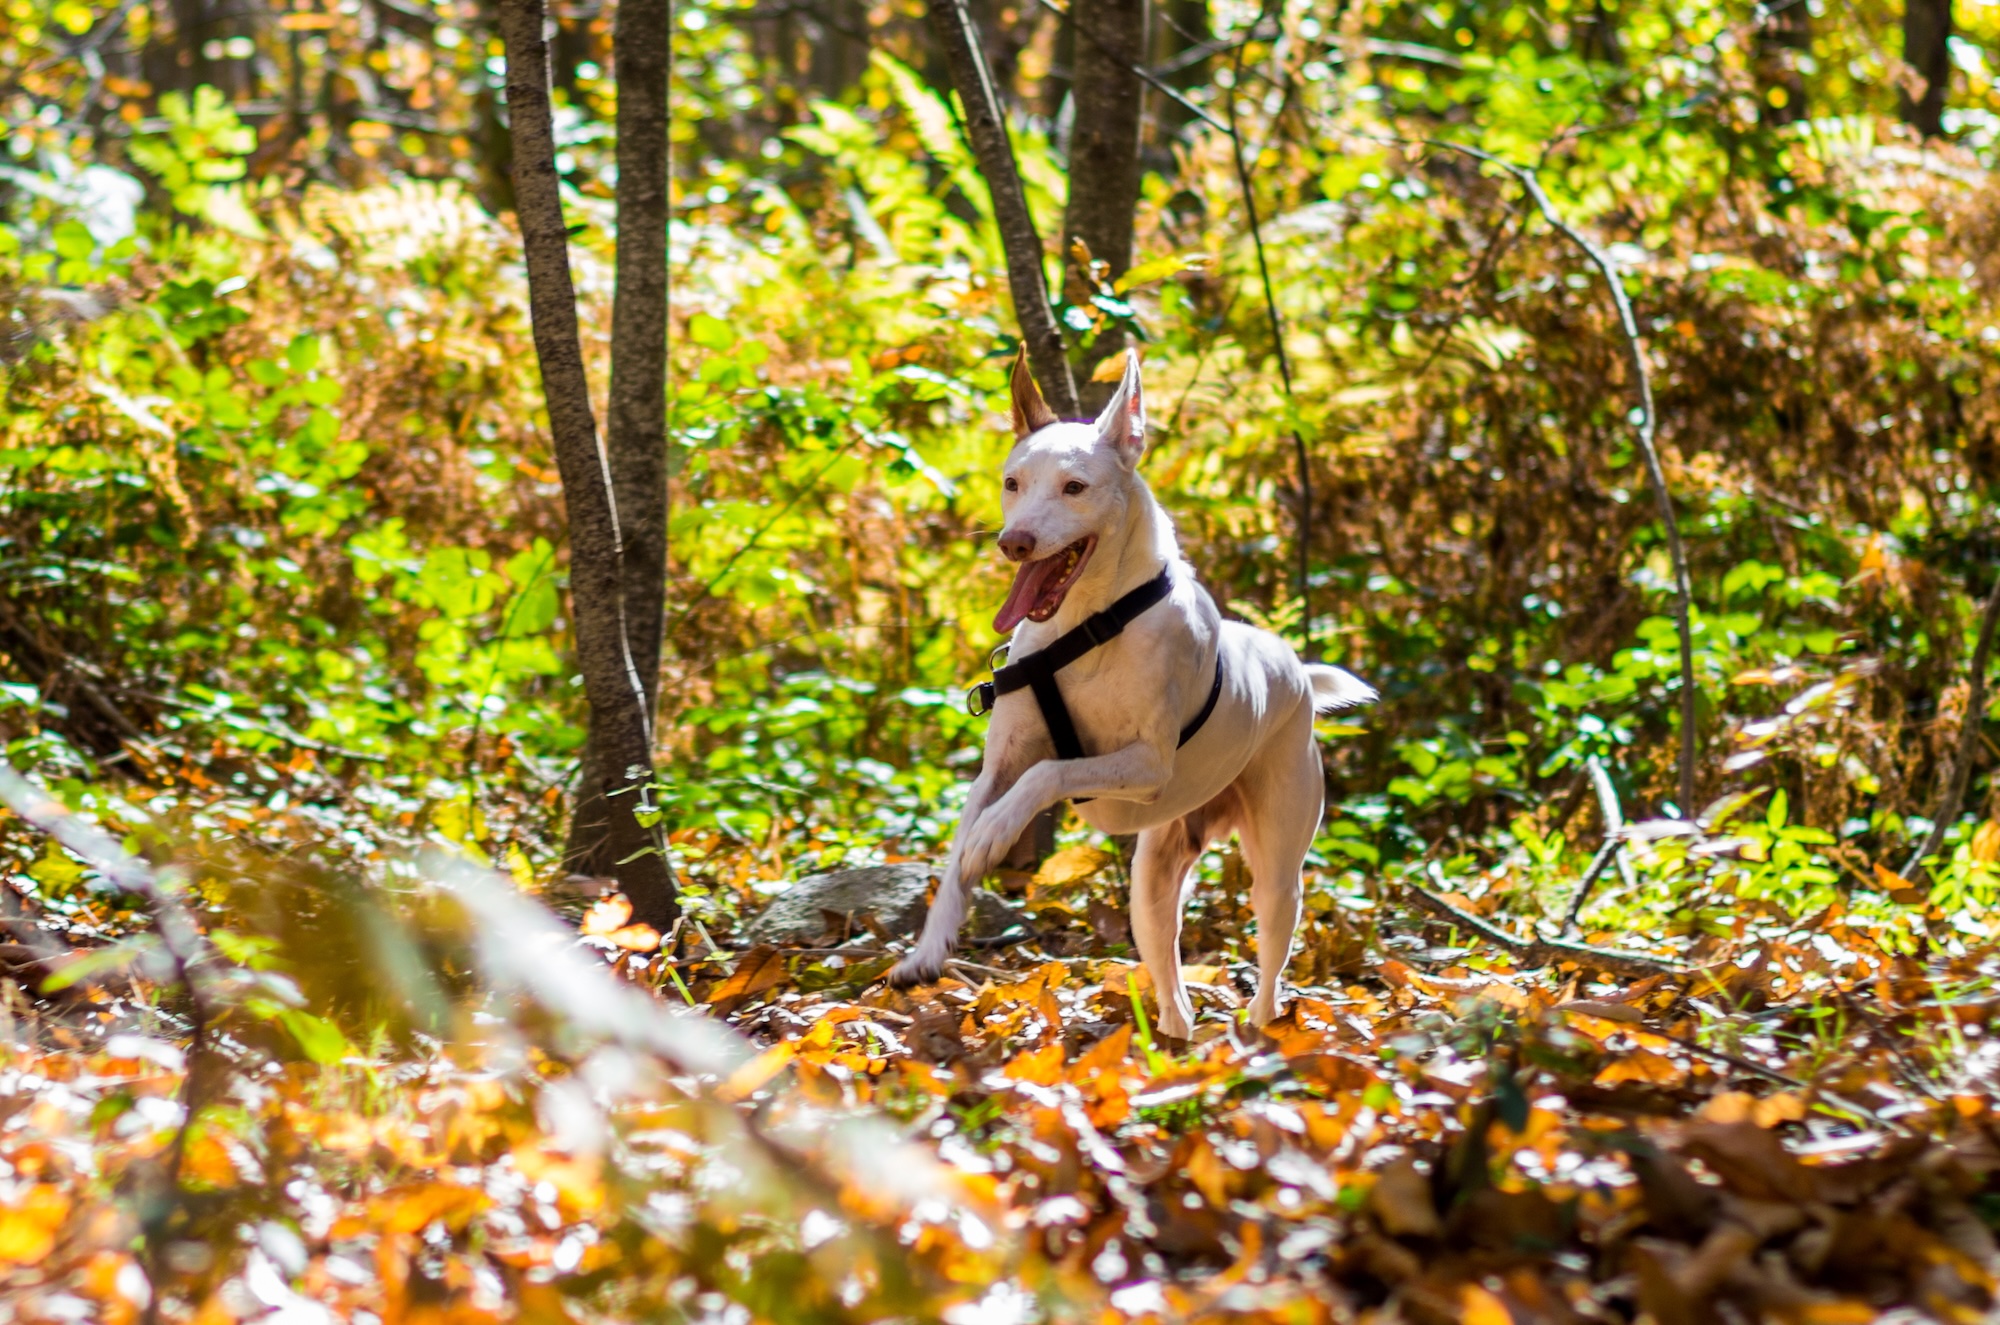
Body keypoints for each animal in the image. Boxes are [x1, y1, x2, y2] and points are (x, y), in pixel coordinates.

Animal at [892, 352, 1376, 1040]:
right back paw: (1176, 1034)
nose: (1014, 541)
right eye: (1013, 483)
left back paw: (1259, 1029)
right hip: (1151, 885)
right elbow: (962, 850)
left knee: (1272, 958)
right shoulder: (998, 768)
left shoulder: (1146, 764)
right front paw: (929, 948)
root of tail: (1294, 669)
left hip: (1279, 867)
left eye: (1074, 488)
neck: (1089, 628)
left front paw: (996, 834)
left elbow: (1048, 772)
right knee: (1172, 981)